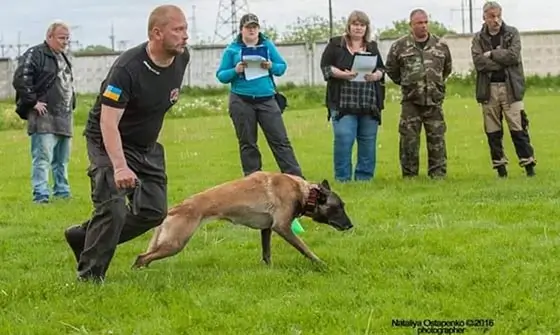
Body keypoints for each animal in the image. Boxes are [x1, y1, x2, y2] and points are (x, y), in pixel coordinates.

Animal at [132, 172, 352, 270]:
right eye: (339, 207)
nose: (351, 225)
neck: (305, 192)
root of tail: (173, 209)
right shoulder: (282, 227)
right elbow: (305, 249)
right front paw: (321, 263)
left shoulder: (266, 229)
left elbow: (267, 253)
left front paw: (269, 269)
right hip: (175, 243)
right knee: (142, 257)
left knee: (145, 257)